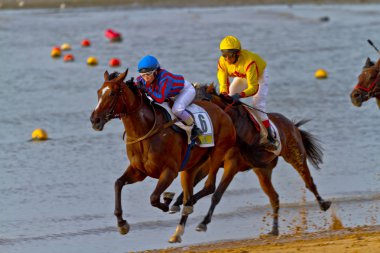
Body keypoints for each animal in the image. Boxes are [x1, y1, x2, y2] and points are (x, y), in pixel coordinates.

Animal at [90, 69, 238, 243]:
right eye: (99, 92)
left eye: (112, 93)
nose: (95, 120)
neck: (146, 130)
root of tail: (222, 112)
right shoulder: (139, 171)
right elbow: (118, 184)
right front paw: (122, 223)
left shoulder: (169, 171)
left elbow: (154, 198)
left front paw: (167, 201)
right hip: (191, 167)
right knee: (191, 190)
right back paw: (179, 226)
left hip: (217, 153)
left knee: (209, 186)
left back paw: (186, 207)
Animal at [168, 83, 332, 235]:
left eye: (204, 100)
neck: (232, 125)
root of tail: (293, 125)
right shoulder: (210, 162)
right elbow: (195, 184)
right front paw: (178, 203)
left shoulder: (232, 165)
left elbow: (216, 194)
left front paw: (203, 222)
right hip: (262, 170)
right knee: (274, 197)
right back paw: (274, 229)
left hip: (295, 155)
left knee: (308, 181)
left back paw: (323, 204)